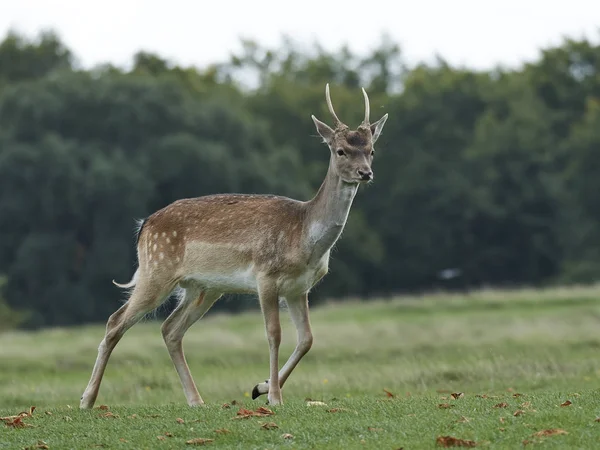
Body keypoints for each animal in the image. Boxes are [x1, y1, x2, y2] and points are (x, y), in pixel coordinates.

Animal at [79, 83, 390, 408]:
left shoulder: (299, 288)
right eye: (341, 150)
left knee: (170, 329)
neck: (304, 237)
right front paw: (274, 396)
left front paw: (261, 387)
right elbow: (274, 334)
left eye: (371, 150)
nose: (365, 172)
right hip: (157, 269)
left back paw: (196, 400)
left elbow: (307, 339)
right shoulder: (266, 277)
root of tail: (144, 225)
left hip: (202, 288)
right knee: (116, 322)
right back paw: (87, 399)